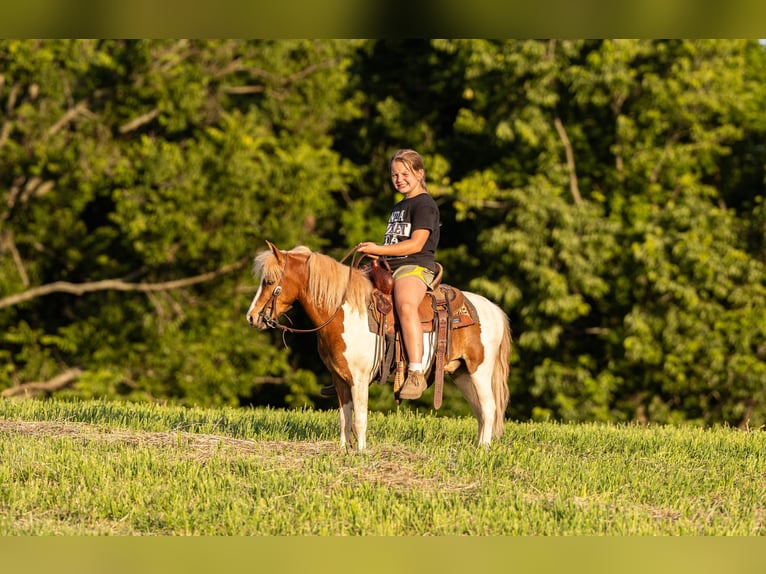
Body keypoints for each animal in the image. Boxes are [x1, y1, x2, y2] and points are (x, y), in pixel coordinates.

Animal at [246, 240, 512, 451]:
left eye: (269, 281)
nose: (252, 317)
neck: (343, 311)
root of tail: (494, 309)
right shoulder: (339, 377)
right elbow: (345, 417)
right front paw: (343, 450)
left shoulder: (359, 378)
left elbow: (360, 418)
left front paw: (361, 452)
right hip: (461, 373)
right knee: (480, 411)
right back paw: (477, 446)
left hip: (480, 371)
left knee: (489, 408)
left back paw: (483, 450)